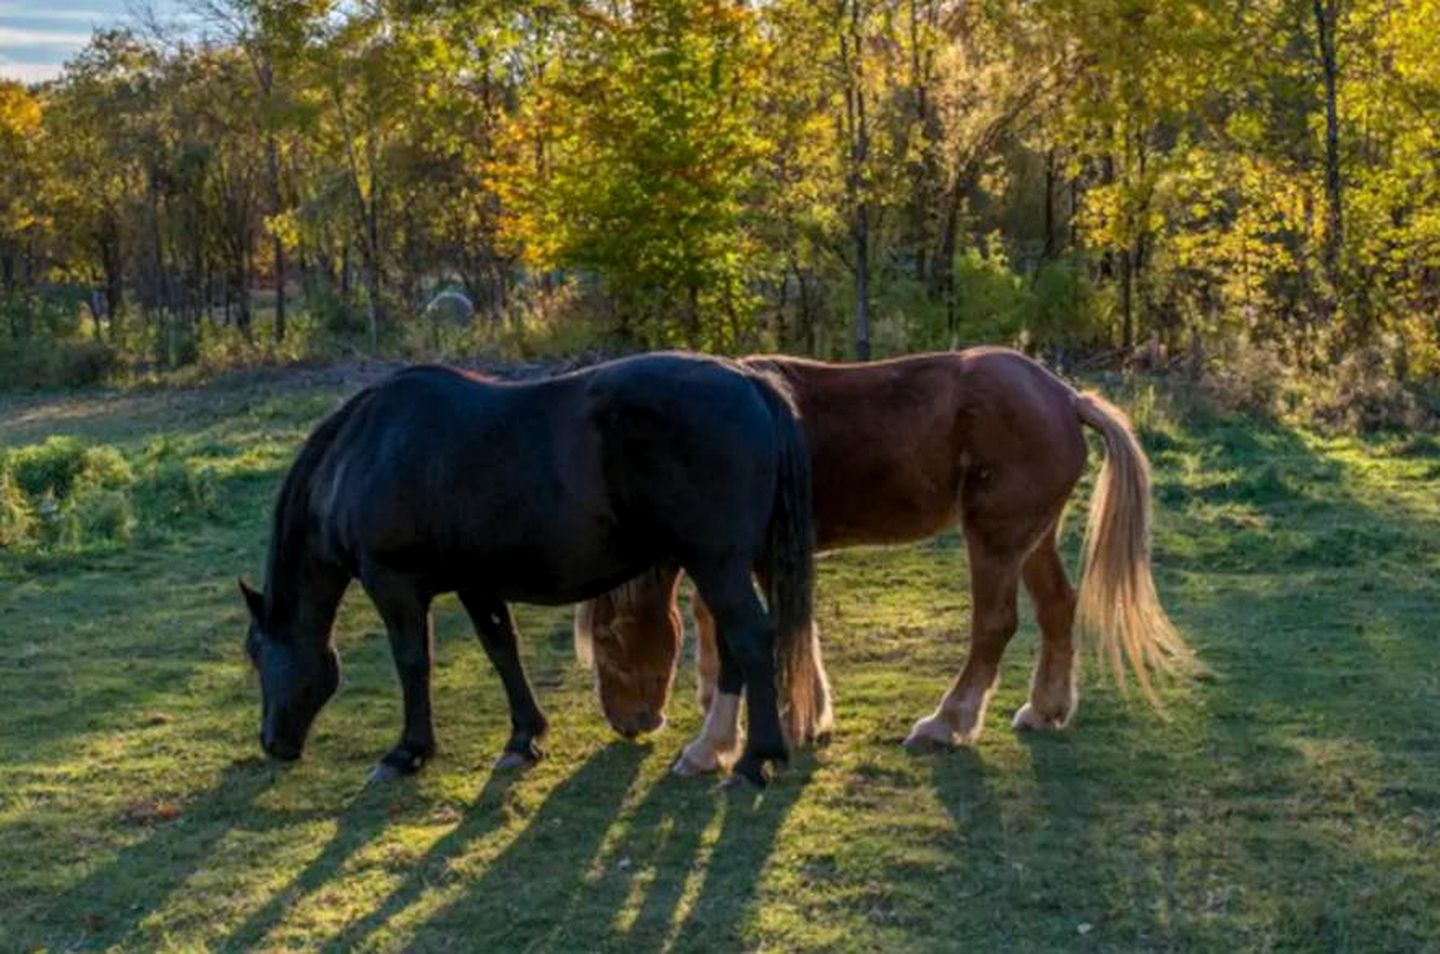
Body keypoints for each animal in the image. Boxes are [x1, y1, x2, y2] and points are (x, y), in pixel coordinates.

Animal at [241, 354, 817, 789]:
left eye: (256, 653)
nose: (273, 743)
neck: (363, 454)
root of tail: (746, 380)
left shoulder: (394, 585)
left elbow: (412, 662)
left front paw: (408, 752)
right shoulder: (475, 582)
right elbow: (502, 650)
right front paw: (525, 738)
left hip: (717, 564)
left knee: (750, 640)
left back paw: (755, 760)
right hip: (721, 568)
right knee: (735, 645)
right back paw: (719, 751)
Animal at [573, 347, 1192, 772]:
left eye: (606, 639)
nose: (628, 724)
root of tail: (1066, 398)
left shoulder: (758, 559)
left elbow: (763, 631)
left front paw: (760, 728)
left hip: (994, 540)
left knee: (994, 626)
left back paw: (948, 722)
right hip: (1033, 538)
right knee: (1058, 609)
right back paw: (1045, 709)